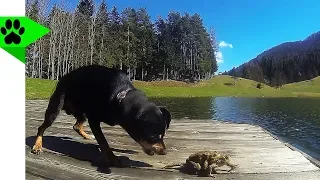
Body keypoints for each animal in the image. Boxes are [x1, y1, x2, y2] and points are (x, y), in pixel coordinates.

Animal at [31, 64, 172, 167]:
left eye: (164, 135)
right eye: (153, 137)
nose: (165, 151)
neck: (120, 96)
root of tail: (64, 76)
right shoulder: (94, 120)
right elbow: (104, 142)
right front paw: (113, 159)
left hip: (82, 112)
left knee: (76, 126)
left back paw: (87, 136)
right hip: (55, 107)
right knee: (42, 127)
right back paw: (37, 146)